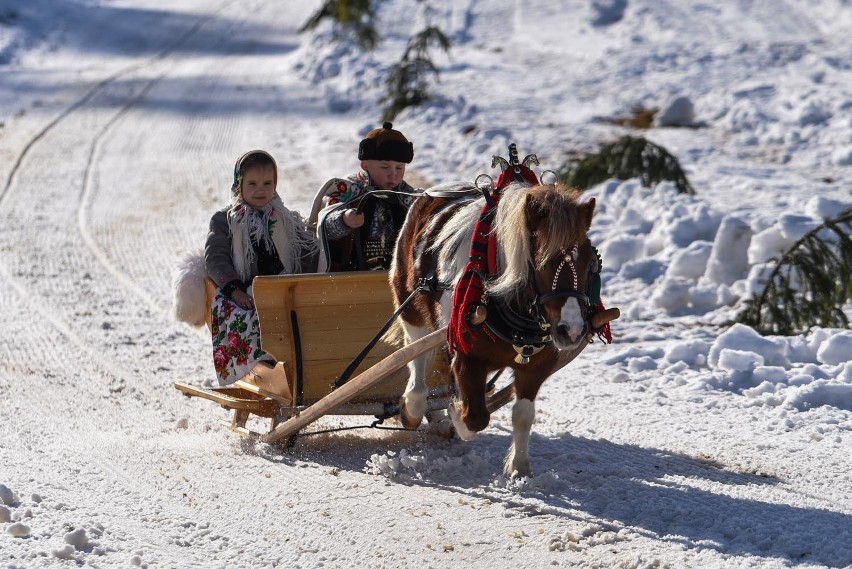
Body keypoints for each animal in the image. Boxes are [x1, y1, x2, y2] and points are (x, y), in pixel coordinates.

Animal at [390, 168, 616, 474]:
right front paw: (456, 414)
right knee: (416, 357)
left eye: (591, 260)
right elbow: (475, 418)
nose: (572, 330)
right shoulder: (467, 357)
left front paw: (519, 467)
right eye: (542, 262)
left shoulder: (537, 365)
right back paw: (413, 408)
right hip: (410, 304)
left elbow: (523, 414)